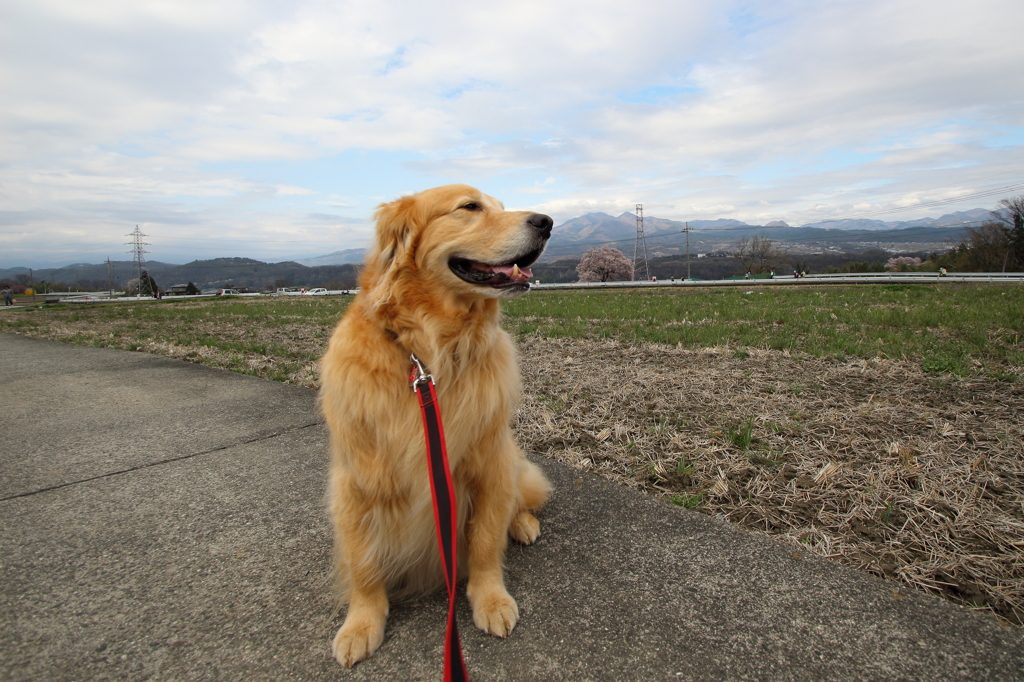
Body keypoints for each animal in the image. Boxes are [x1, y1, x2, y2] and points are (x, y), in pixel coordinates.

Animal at [323, 183, 557, 667]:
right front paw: (361, 624)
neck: (430, 352)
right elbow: (363, 563)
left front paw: (490, 599)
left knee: (518, 503)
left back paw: (523, 525)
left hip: (513, 462)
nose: (546, 221)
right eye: (470, 207)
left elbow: (485, 541)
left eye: (503, 207)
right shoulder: (354, 480)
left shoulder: (489, 462)